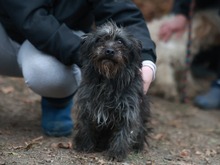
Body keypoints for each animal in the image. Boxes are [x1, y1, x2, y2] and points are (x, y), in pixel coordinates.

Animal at [73, 21, 150, 161]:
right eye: (100, 39)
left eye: (120, 41)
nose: (109, 51)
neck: (108, 79)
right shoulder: (87, 105)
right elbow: (85, 126)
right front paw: (84, 145)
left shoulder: (128, 111)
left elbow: (123, 133)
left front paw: (116, 153)